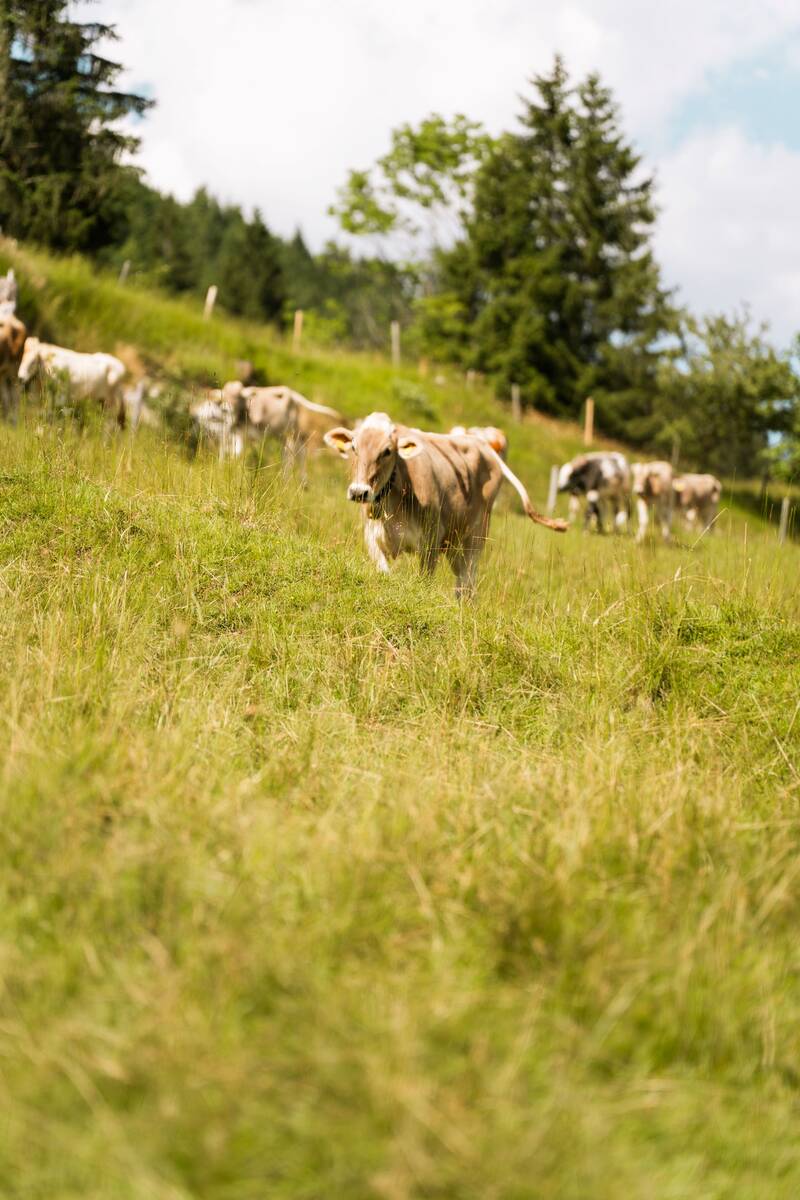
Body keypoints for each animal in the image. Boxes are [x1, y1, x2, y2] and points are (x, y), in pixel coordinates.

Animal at [324, 411, 566, 600]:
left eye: (387, 451)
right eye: (354, 447)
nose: (359, 491)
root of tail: (481, 443)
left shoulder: (431, 541)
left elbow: (424, 581)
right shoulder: (372, 536)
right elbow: (383, 572)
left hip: (475, 536)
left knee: (467, 583)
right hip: (454, 544)